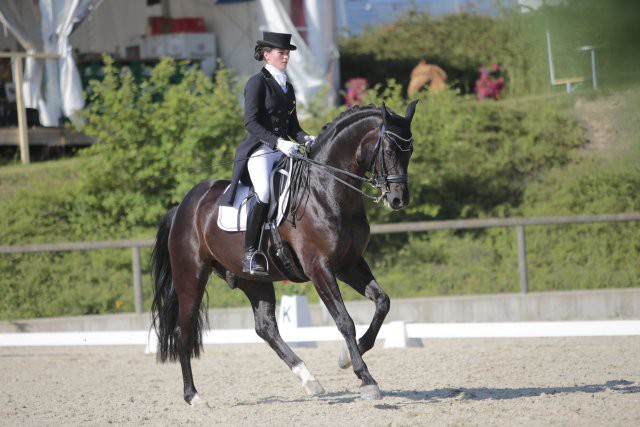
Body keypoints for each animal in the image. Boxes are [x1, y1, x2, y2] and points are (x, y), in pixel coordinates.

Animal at [151, 100, 420, 408]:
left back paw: (309, 380)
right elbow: (344, 320)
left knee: (266, 327)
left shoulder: (349, 264)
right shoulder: (319, 267)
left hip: (253, 279)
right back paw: (194, 396)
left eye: (410, 151)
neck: (326, 191)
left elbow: (382, 303)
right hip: (191, 277)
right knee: (183, 331)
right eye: (388, 150)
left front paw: (344, 358)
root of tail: (183, 205)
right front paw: (366, 379)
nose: (398, 200)